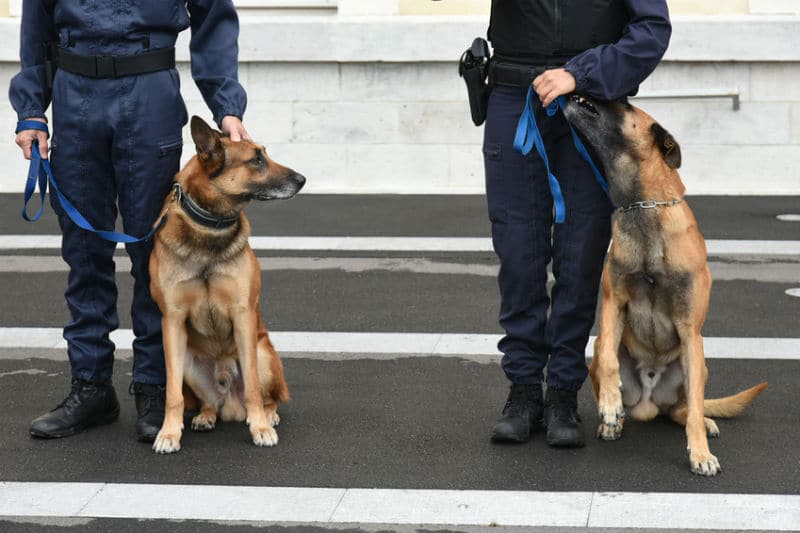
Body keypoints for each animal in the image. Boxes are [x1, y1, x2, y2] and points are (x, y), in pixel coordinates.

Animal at [148, 116, 304, 454]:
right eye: (256, 159)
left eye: (264, 154)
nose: (302, 179)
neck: (210, 227)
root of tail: (229, 402)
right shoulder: (172, 322)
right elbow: (172, 394)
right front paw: (168, 432)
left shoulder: (243, 315)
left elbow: (254, 391)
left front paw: (259, 428)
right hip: (189, 364)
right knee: (208, 402)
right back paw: (205, 416)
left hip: (263, 354)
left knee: (268, 397)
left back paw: (267, 416)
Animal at [560, 94, 764, 474]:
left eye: (624, 104)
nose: (583, 87)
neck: (643, 206)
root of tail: (650, 401)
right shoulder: (613, 304)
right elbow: (609, 361)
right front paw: (610, 406)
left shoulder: (689, 330)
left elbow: (696, 408)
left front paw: (700, 454)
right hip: (600, 345)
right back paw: (615, 420)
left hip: (697, 361)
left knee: (685, 409)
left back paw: (703, 423)